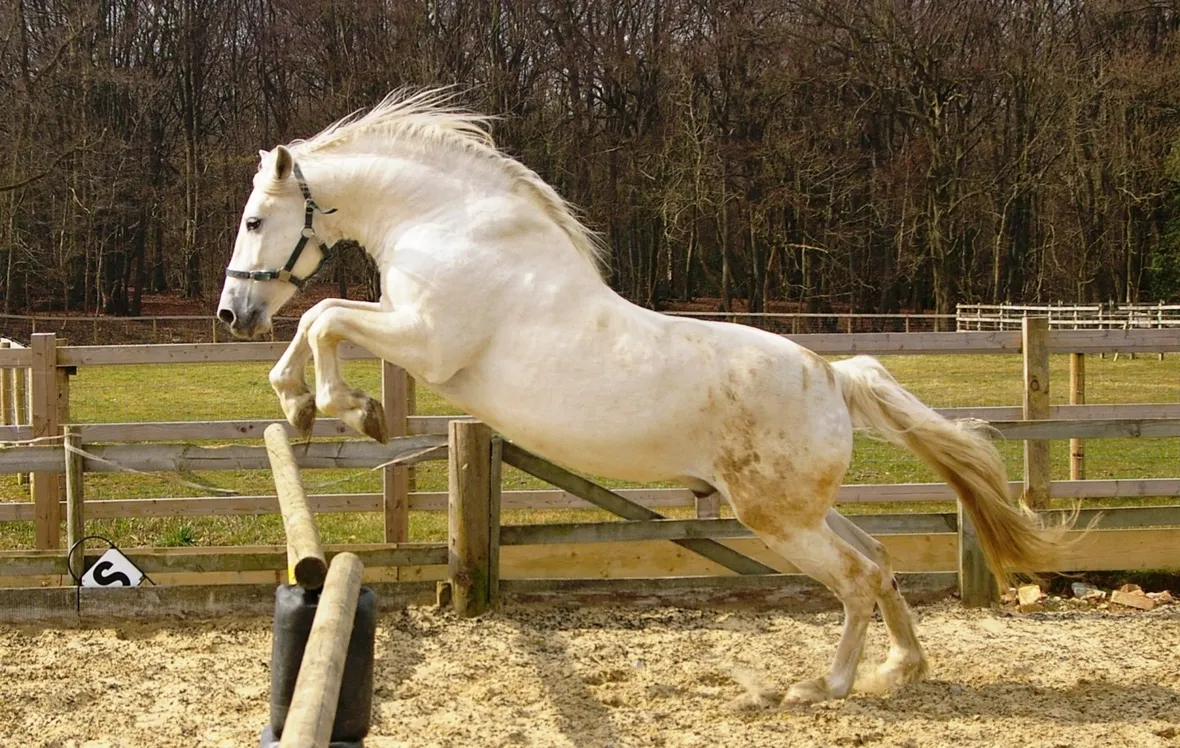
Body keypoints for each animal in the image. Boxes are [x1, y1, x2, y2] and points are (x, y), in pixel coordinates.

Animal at [217, 89, 1071, 704]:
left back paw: (819, 687)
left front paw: (351, 408)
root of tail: (835, 377)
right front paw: (298, 405)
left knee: (856, 579)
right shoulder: (406, 330)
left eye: (256, 219)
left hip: (777, 518)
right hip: (803, 509)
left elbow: (327, 318)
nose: (233, 314)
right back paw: (899, 672)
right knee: (881, 560)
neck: (449, 225)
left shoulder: (426, 340)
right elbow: (317, 326)